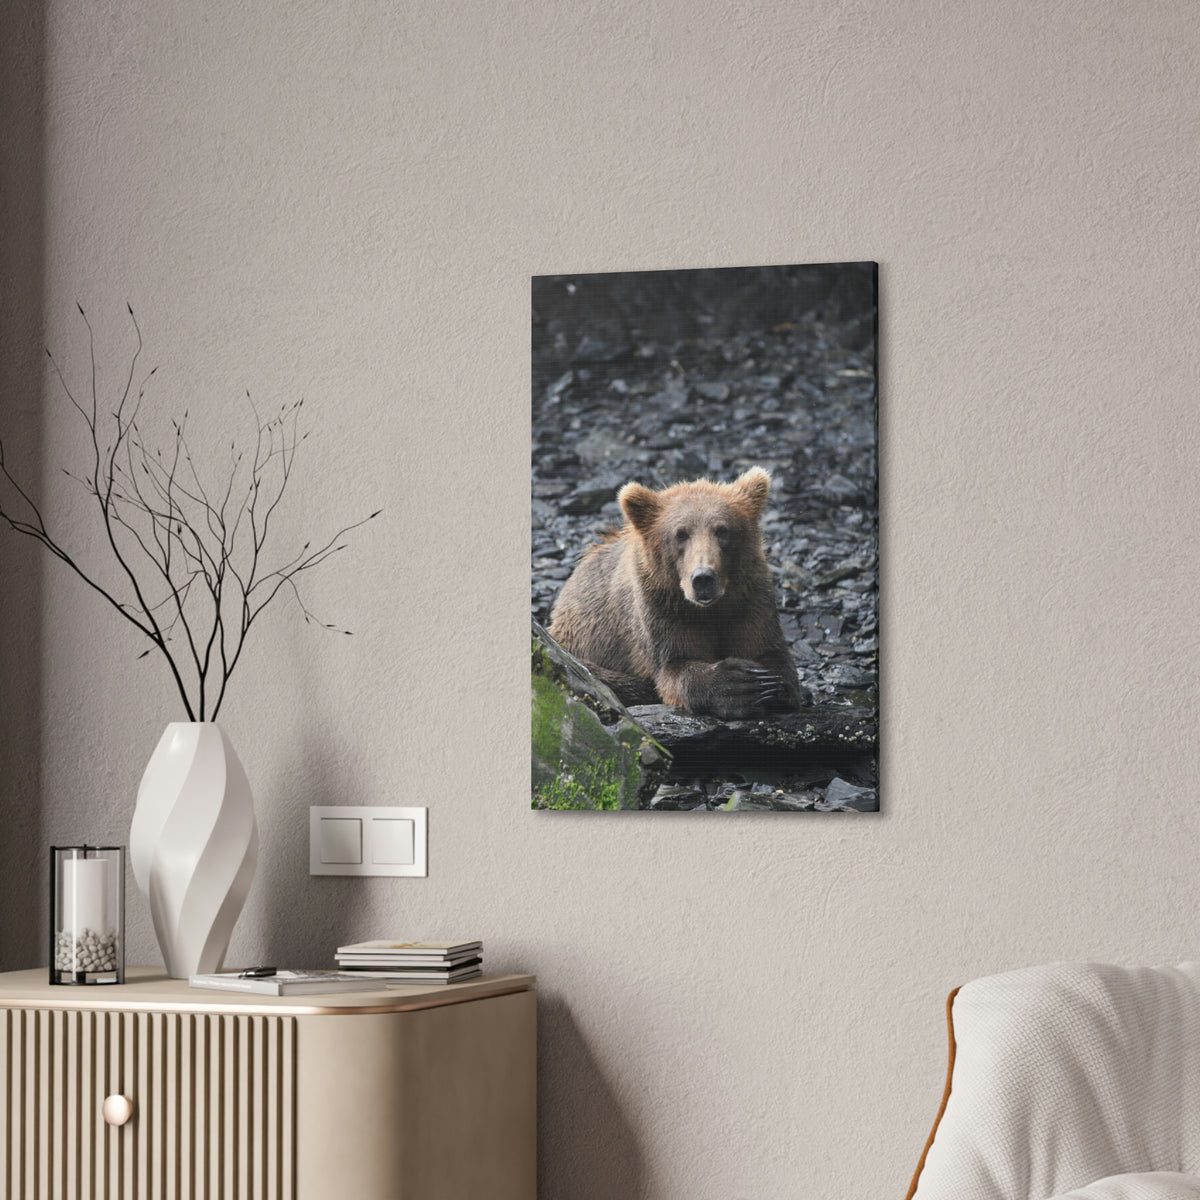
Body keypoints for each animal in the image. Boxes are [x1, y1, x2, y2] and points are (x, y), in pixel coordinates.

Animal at [548, 466, 803, 721]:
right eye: (680, 534)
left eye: (722, 530)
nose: (703, 578)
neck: (710, 609)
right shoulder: (662, 608)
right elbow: (675, 666)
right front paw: (739, 685)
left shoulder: (749, 599)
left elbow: (769, 651)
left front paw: (768, 683)